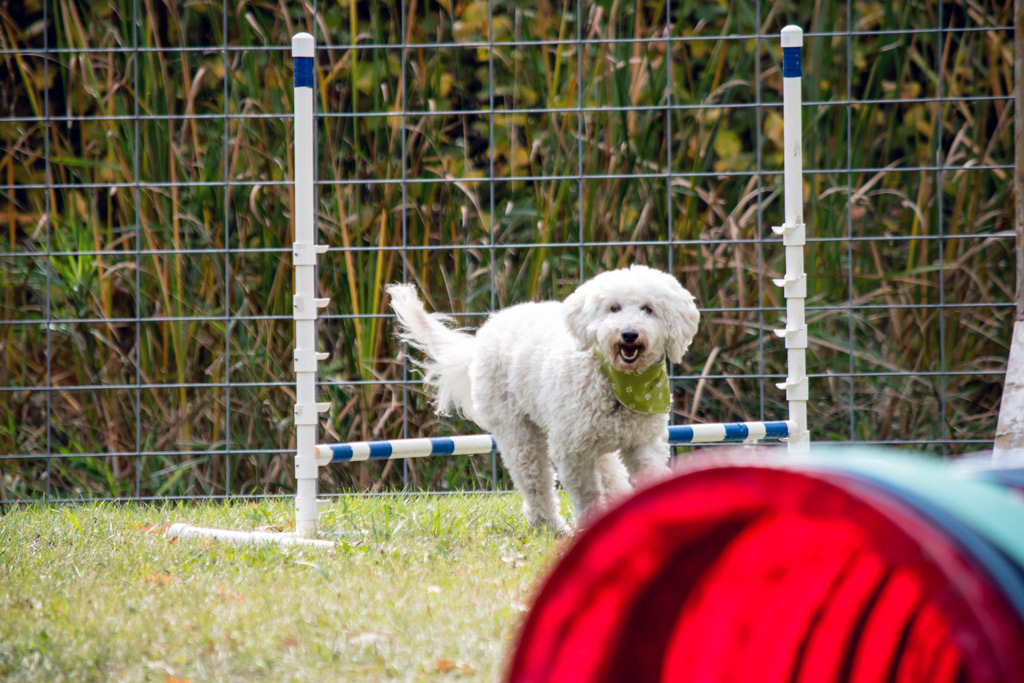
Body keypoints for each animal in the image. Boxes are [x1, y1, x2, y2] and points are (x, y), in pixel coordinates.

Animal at [387, 264, 700, 532]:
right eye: (614, 308)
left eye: (648, 309)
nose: (629, 334)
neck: (618, 383)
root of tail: (484, 334)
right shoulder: (572, 452)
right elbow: (586, 494)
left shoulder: (643, 442)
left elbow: (649, 476)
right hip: (519, 434)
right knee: (535, 482)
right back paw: (550, 525)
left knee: (608, 473)